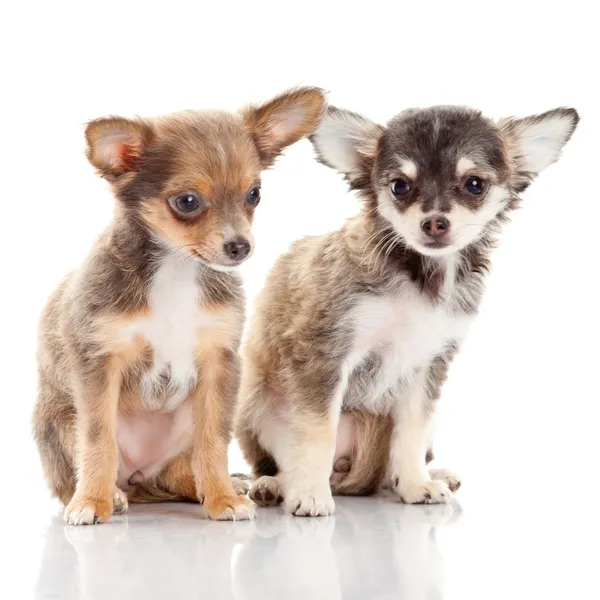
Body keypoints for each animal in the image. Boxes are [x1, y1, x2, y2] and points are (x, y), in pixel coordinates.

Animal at [35, 86, 326, 524]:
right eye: (187, 202)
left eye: (254, 194)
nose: (240, 246)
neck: (176, 268)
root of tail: (140, 479)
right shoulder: (97, 363)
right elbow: (98, 440)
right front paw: (92, 502)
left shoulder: (218, 363)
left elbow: (213, 443)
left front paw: (222, 498)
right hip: (61, 418)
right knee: (84, 472)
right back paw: (110, 495)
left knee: (179, 473)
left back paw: (220, 486)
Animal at [237, 103, 580, 516]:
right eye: (400, 186)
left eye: (474, 185)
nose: (434, 222)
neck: (422, 276)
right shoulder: (325, 355)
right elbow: (318, 432)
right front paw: (310, 494)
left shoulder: (428, 365)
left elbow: (411, 433)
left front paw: (416, 484)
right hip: (255, 406)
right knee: (275, 461)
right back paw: (273, 485)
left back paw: (430, 475)